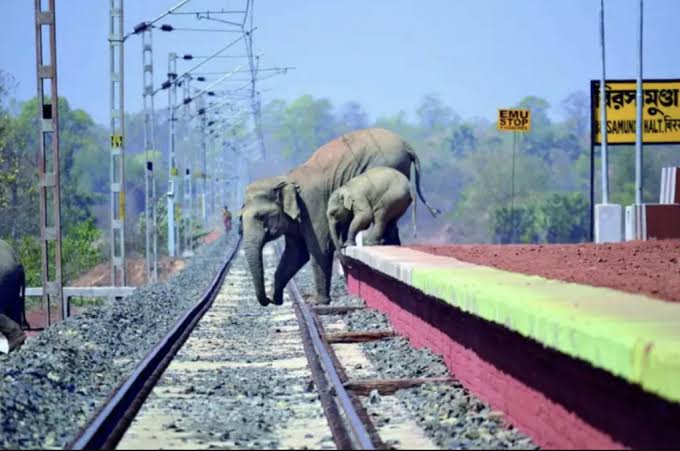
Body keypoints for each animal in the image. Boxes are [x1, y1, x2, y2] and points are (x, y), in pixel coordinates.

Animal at [241, 128, 439, 307]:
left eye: (261, 216)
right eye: (240, 219)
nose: (268, 300)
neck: (284, 179)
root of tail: (407, 145)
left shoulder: (312, 206)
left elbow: (319, 249)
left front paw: (317, 302)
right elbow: (295, 254)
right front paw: (278, 299)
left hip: (388, 164)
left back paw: (373, 242)